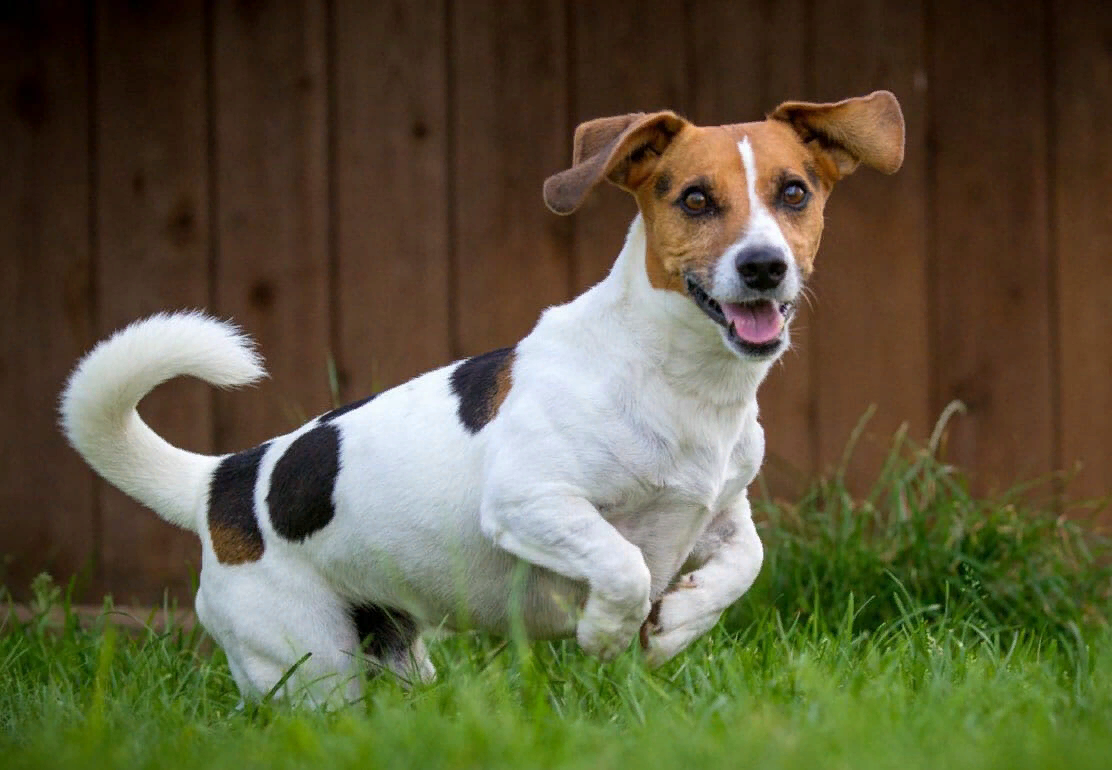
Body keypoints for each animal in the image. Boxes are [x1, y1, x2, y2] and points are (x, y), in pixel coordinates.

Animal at [60, 90, 902, 703]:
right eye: (695, 200)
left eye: (794, 192)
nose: (764, 267)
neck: (680, 380)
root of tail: (222, 480)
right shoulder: (531, 503)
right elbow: (624, 565)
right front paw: (606, 632)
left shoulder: (719, 515)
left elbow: (743, 563)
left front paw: (678, 624)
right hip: (310, 663)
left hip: (394, 651)